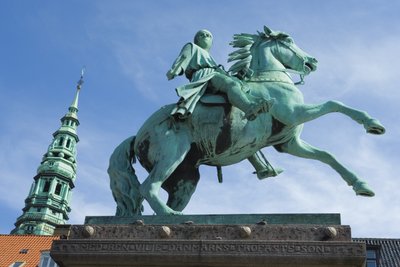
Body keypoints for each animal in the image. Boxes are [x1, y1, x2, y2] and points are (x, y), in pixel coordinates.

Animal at [108, 26, 386, 217]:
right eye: (288, 40)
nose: (312, 61)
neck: (271, 80)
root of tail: (138, 135)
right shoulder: (295, 113)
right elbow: (334, 104)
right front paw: (372, 123)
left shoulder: (289, 143)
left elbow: (328, 155)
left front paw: (361, 185)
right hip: (171, 156)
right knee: (147, 188)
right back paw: (171, 217)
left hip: (184, 179)